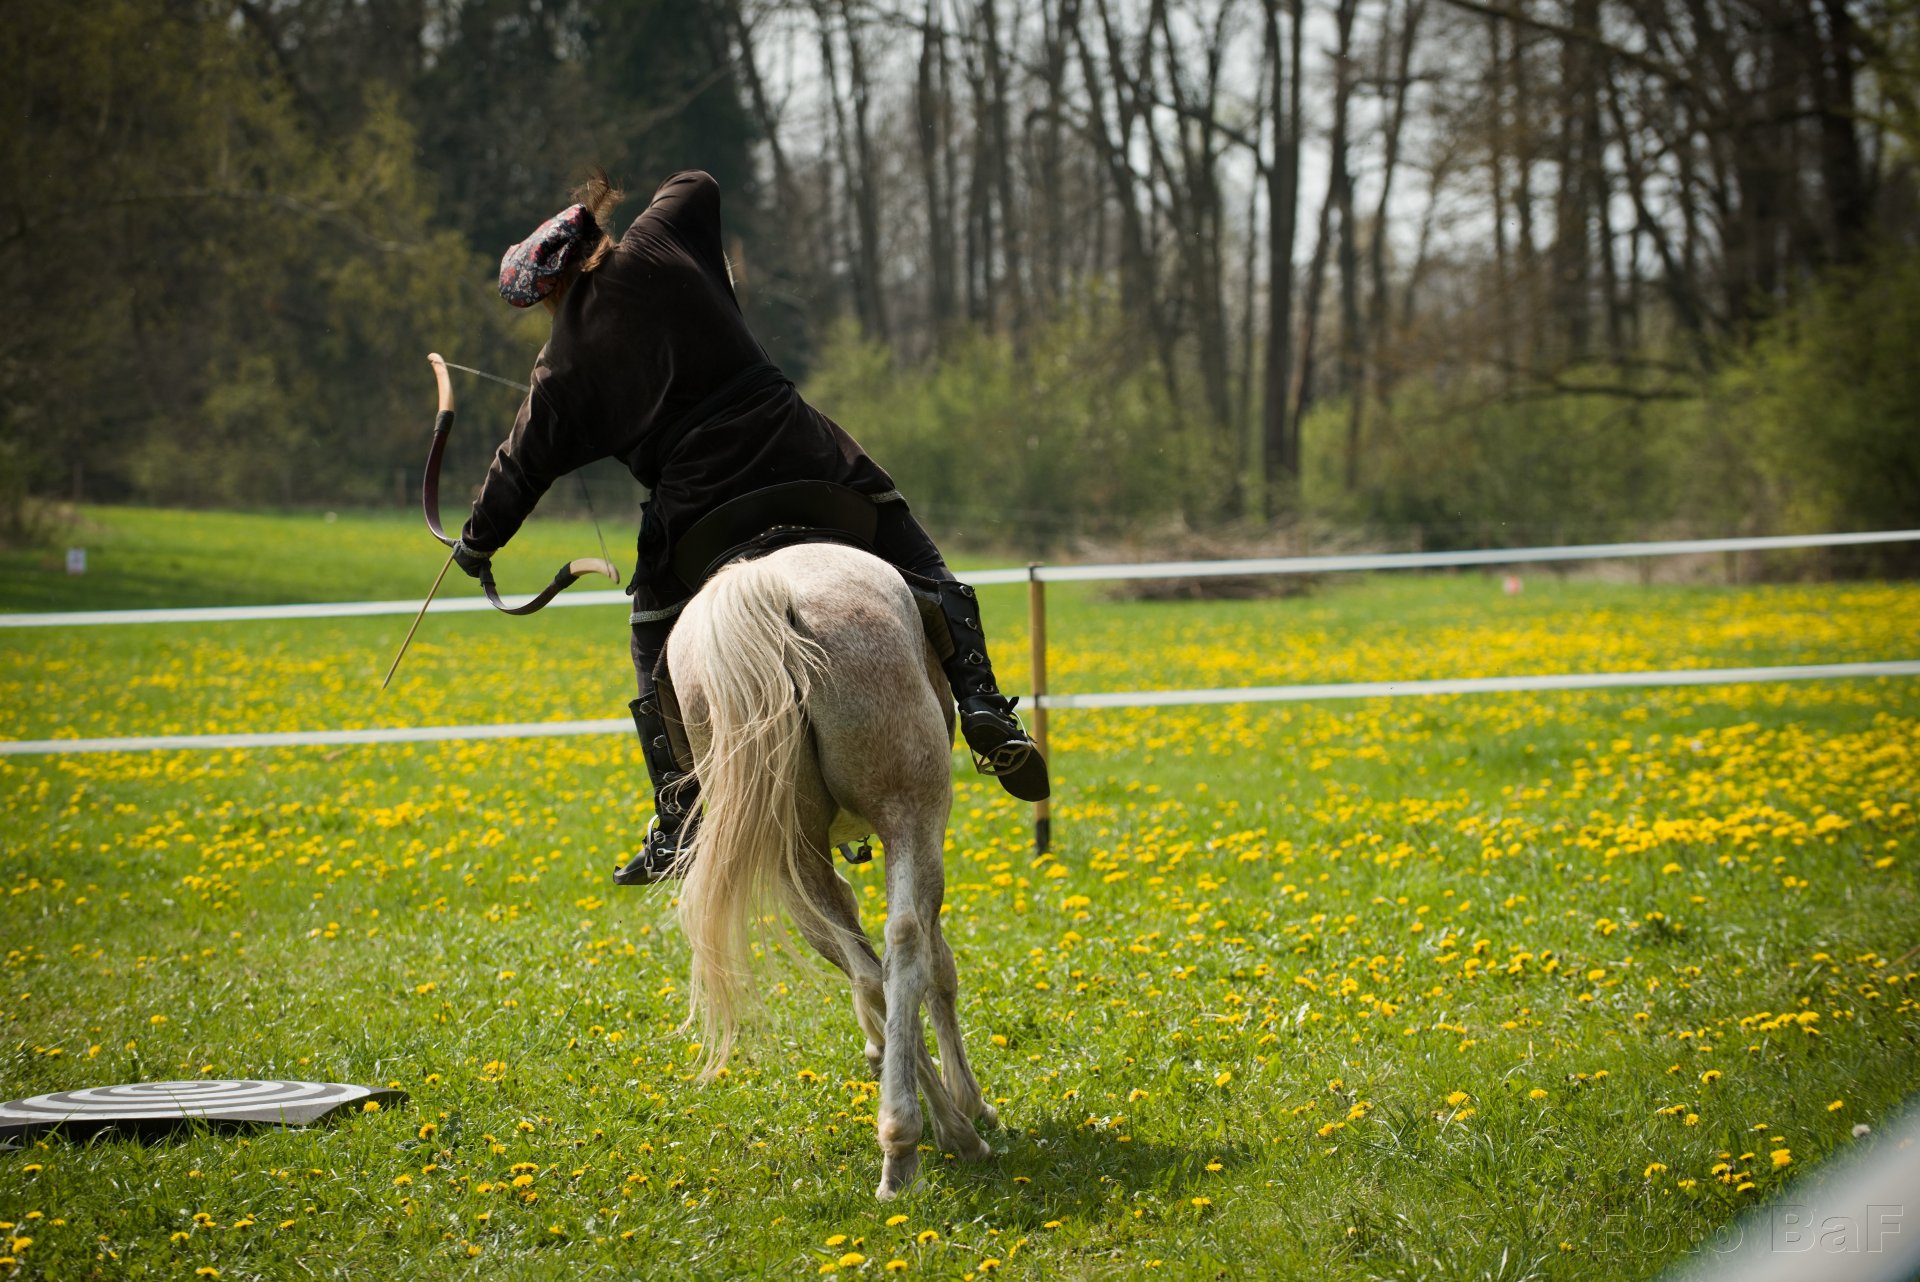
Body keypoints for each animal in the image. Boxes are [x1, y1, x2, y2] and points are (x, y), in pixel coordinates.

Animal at [668, 545, 998, 1205]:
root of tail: (768, 587)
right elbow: (941, 971)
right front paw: (971, 1100)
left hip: (791, 850)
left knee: (870, 970)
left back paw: (916, 1135)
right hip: (912, 811)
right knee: (906, 944)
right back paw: (930, 1135)